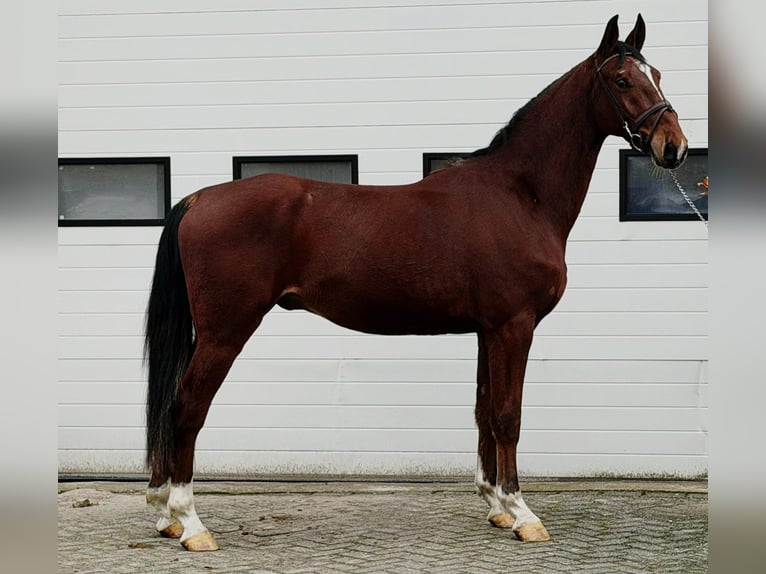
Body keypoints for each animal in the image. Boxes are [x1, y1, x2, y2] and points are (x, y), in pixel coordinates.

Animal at [144, 14, 688, 551]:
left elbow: (483, 411)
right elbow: (508, 415)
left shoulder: (487, 330)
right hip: (225, 332)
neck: (520, 194)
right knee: (186, 407)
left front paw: (495, 505)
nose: (674, 147)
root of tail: (199, 199)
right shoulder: (515, 326)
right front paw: (522, 513)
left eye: (657, 74)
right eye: (622, 79)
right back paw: (190, 522)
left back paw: (166, 514)